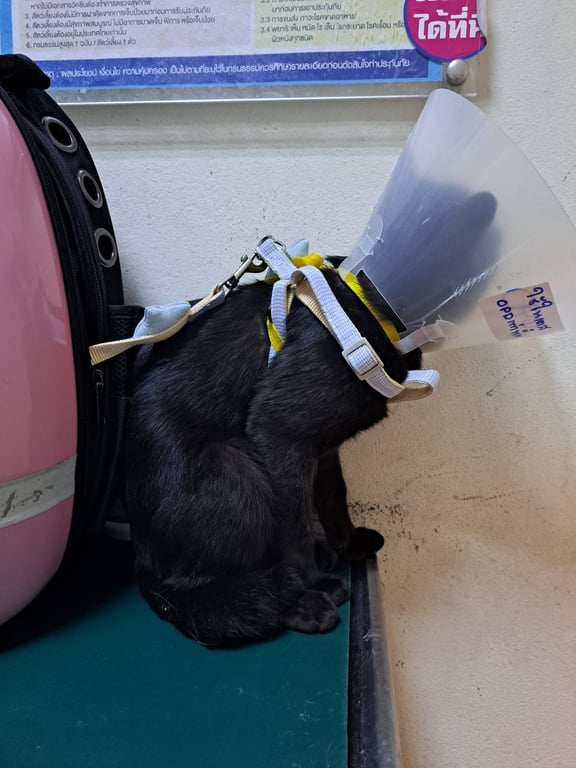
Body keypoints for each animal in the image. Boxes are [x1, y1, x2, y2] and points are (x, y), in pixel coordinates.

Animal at [123, 262, 422, 648]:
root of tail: (143, 562)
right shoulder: (279, 433)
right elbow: (295, 529)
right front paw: (312, 583)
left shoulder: (322, 449)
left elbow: (333, 496)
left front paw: (348, 543)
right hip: (237, 473)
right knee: (191, 596)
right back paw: (294, 603)